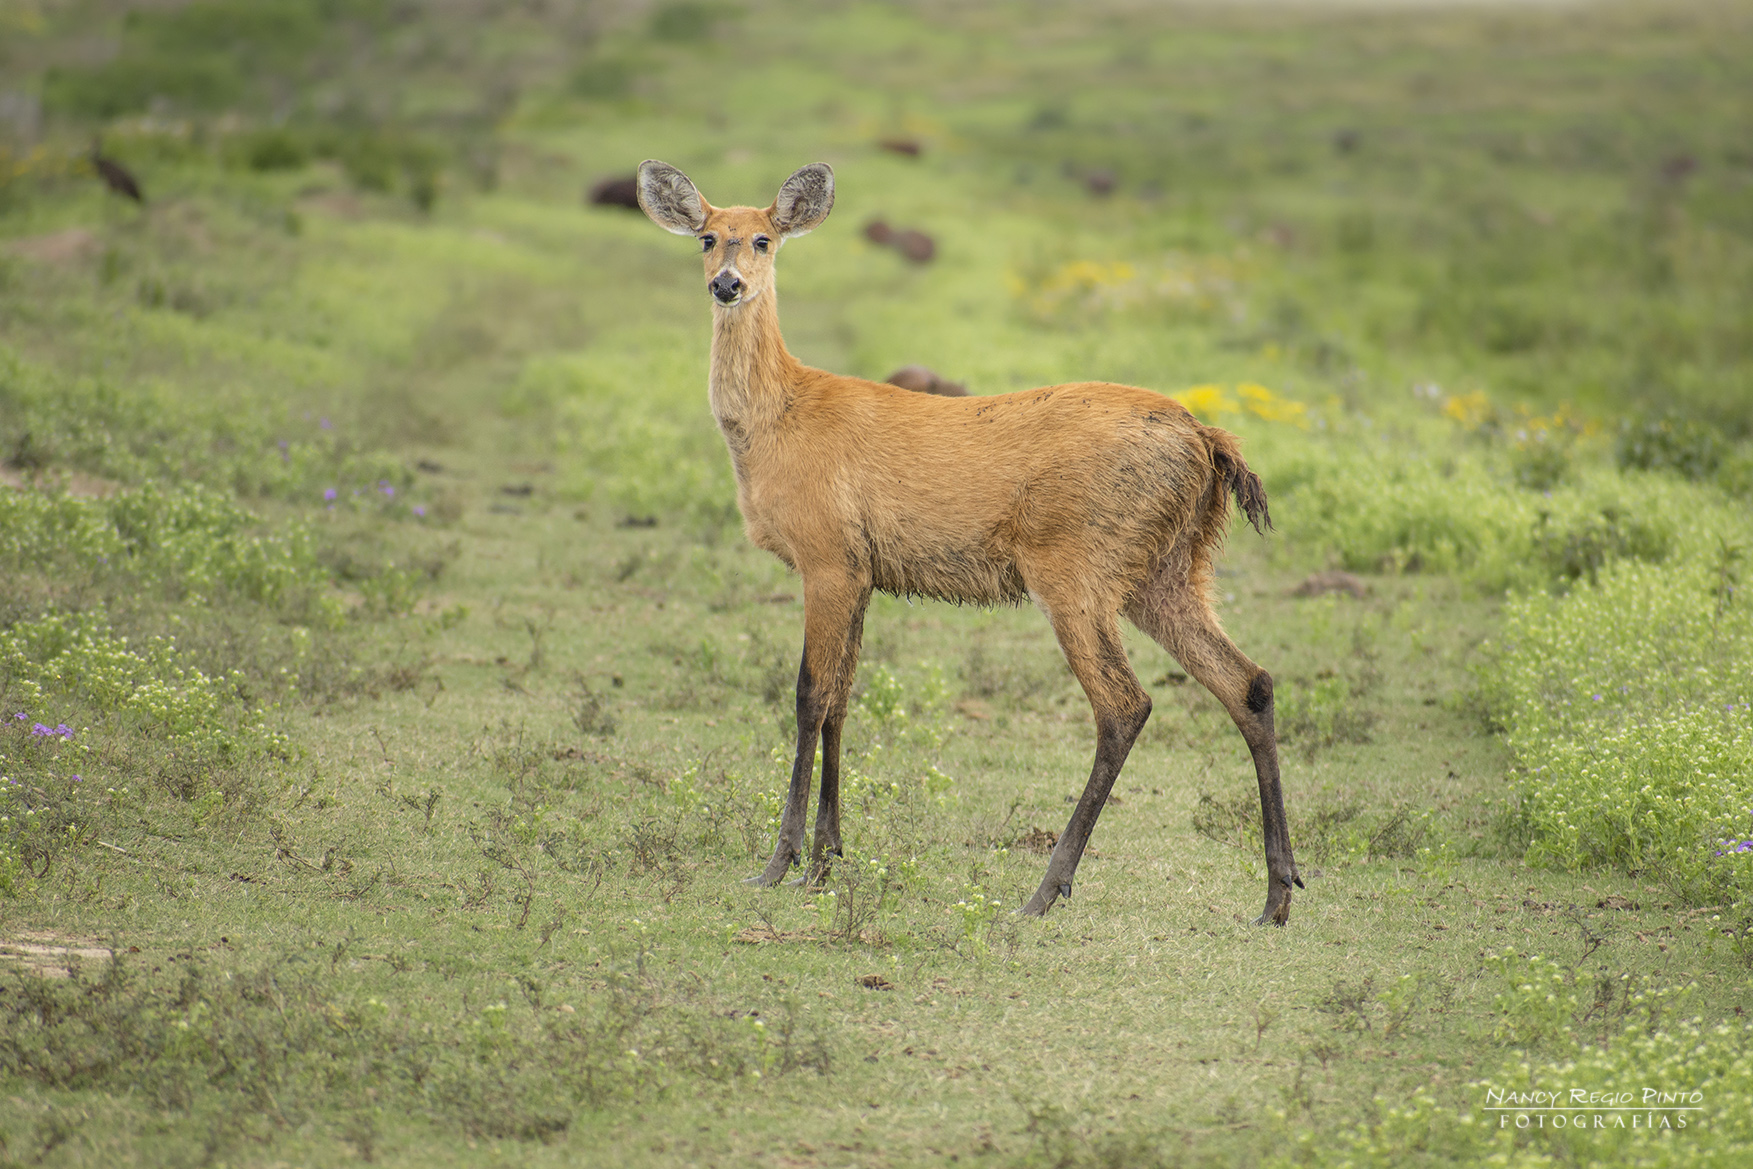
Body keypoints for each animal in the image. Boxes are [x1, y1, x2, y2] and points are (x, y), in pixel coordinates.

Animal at [635, 160, 1304, 925]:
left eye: (763, 240)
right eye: (707, 237)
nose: (727, 284)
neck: (781, 418)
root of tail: (1204, 438)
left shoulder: (826, 557)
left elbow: (808, 695)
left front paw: (781, 864)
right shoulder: (861, 570)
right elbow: (843, 696)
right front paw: (829, 859)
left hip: (1075, 568)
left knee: (1124, 703)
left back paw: (1045, 889)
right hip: (1169, 571)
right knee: (1249, 682)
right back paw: (1276, 895)